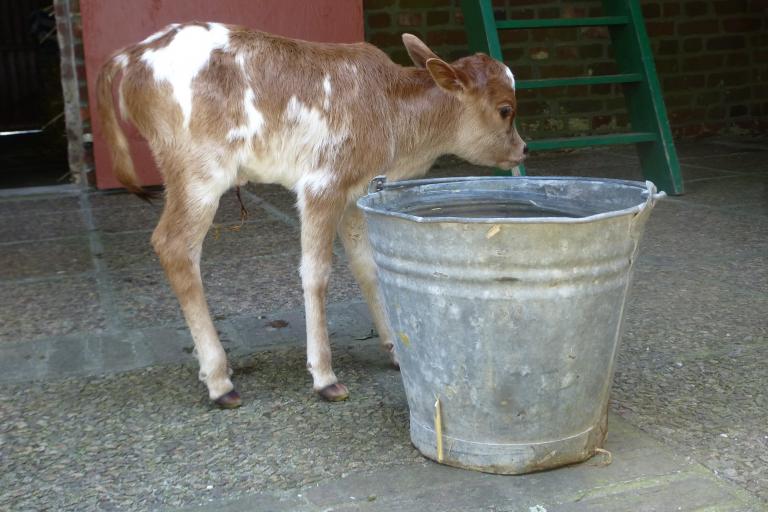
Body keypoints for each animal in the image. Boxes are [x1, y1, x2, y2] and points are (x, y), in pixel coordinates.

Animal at [96, 23, 524, 408]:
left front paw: (396, 352)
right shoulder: (323, 184)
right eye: (505, 110)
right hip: (198, 172)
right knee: (174, 246)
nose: (522, 148)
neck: (391, 114)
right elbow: (315, 274)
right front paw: (324, 376)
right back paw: (219, 381)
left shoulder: (357, 193)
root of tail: (133, 54)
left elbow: (367, 267)